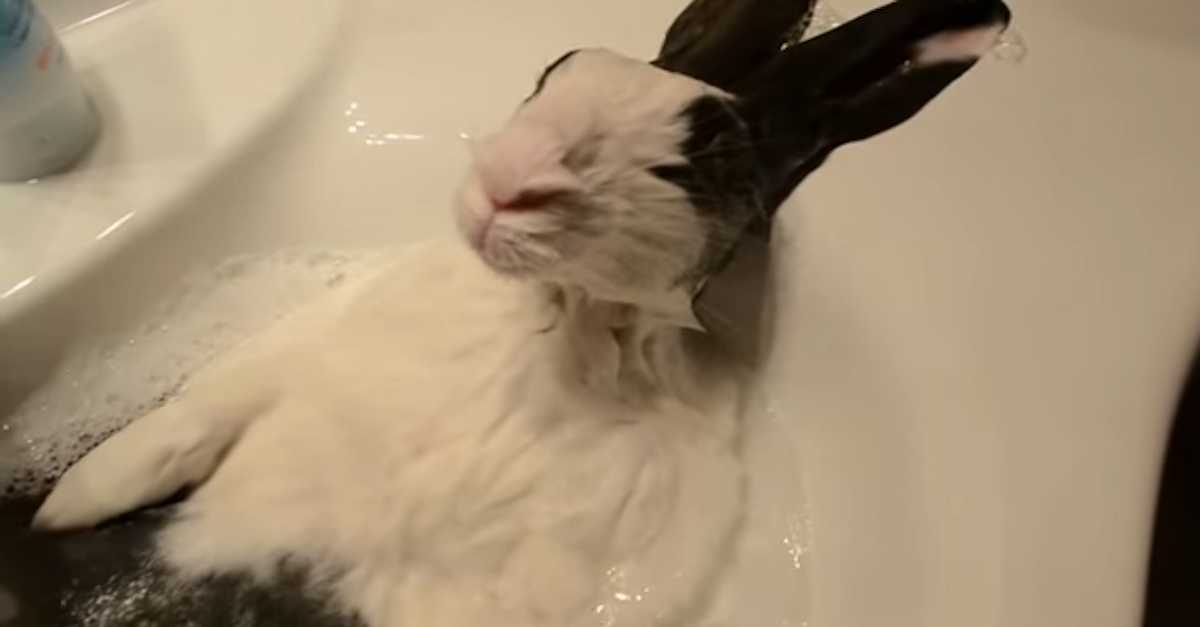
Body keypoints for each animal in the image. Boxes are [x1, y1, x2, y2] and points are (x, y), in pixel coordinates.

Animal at [22, 1, 1011, 626]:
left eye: (704, 162)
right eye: (556, 66)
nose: (508, 180)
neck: (557, 330)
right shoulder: (290, 356)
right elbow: (177, 427)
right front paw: (67, 505)